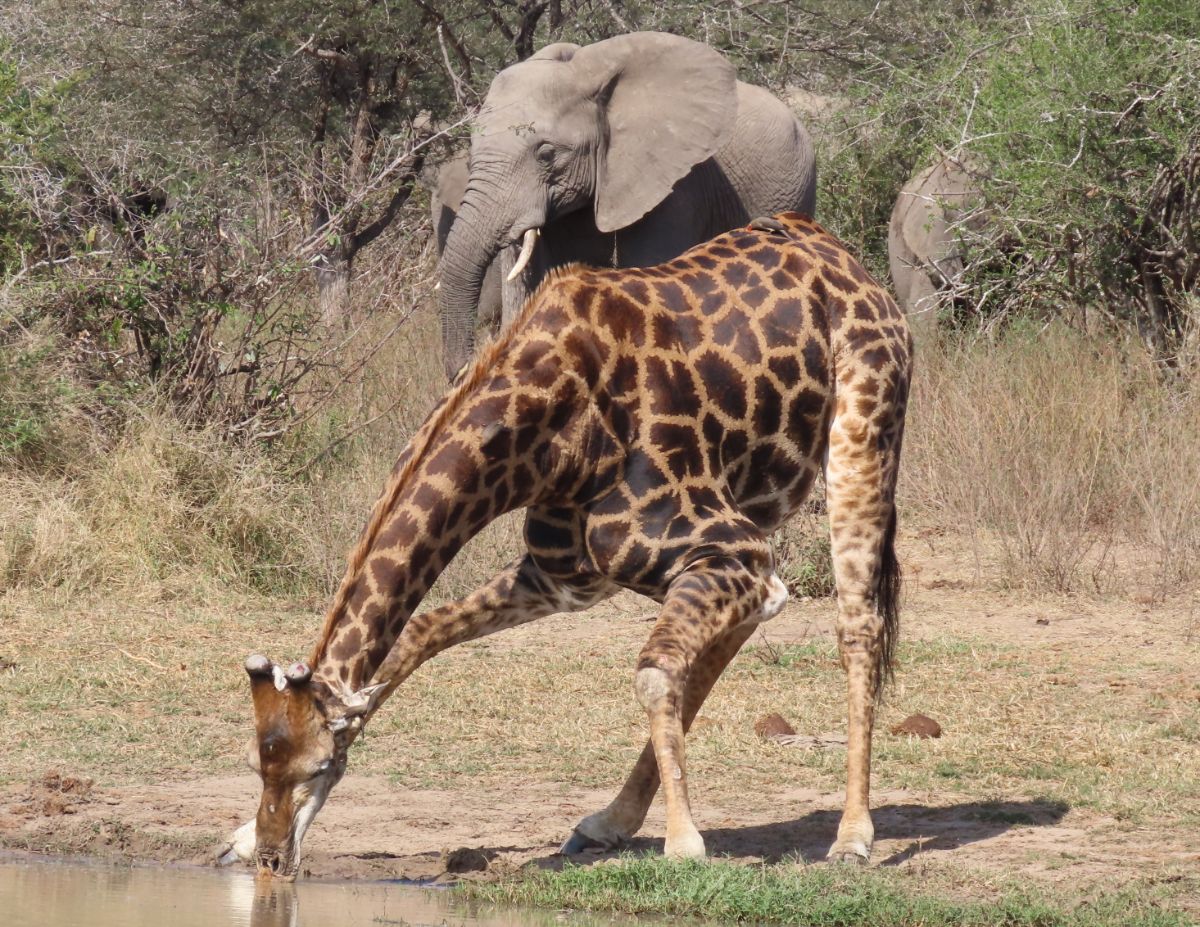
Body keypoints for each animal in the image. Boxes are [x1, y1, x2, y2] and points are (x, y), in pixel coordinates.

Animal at [226, 213, 907, 878]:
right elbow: (420, 632)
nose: (273, 857)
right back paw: (607, 823)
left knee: (856, 625)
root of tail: (842, 257)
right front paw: (237, 839)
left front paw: (685, 843)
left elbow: (654, 670)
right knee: (761, 612)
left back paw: (852, 838)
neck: (549, 437)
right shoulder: (564, 577)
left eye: (316, 765)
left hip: (862, 434)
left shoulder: (726, 545)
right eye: (260, 763)